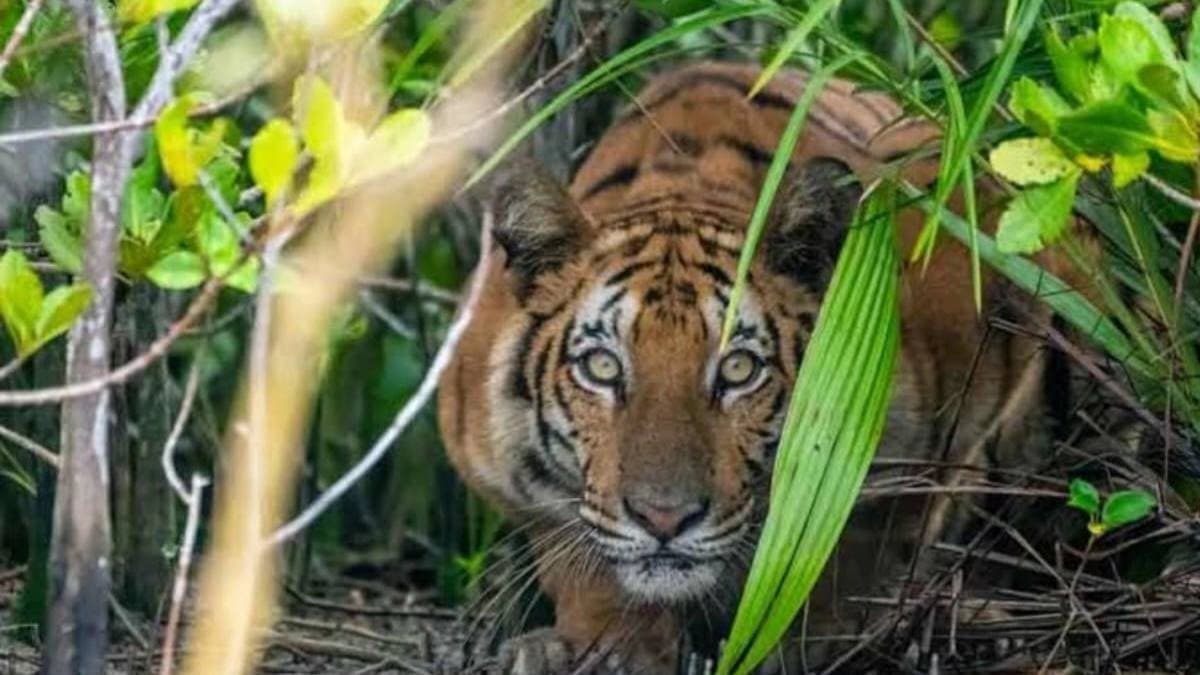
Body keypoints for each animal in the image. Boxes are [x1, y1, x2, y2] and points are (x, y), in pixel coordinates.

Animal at [437, 61, 1070, 673]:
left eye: (740, 370)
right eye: (601, 367)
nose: (663, 520)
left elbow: (858, 539)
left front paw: (816, 635)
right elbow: (577, 551)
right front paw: (604, 647)